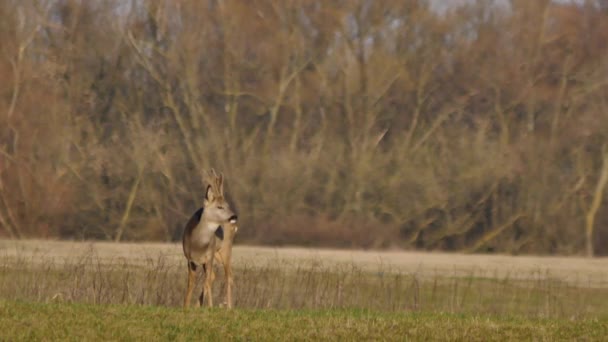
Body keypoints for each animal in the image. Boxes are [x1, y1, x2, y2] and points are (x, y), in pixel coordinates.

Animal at [180, 170, 238, 308]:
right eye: (219, 206)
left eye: (227, 205)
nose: (234, 216)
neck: (197, 244)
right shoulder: (190, 259)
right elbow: (191, 283)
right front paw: (185, 306)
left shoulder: (209, 256)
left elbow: (206, 282)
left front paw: (210, 306)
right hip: (216, 254)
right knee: (215, 276)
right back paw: (197, 305)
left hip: (225, 248)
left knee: (228, 276)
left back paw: (228, 307)